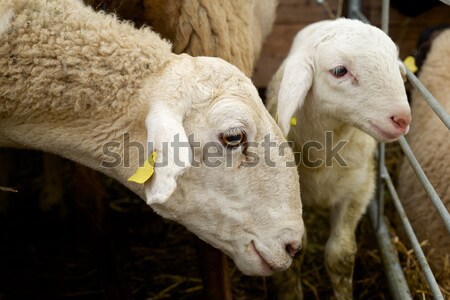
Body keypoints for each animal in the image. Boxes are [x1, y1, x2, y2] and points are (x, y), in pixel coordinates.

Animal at [266, 19, 414, 300]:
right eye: (339, 71)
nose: (402, 119)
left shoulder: (359, 189)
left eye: (394, 60)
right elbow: (292, 256)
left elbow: (340, 255)